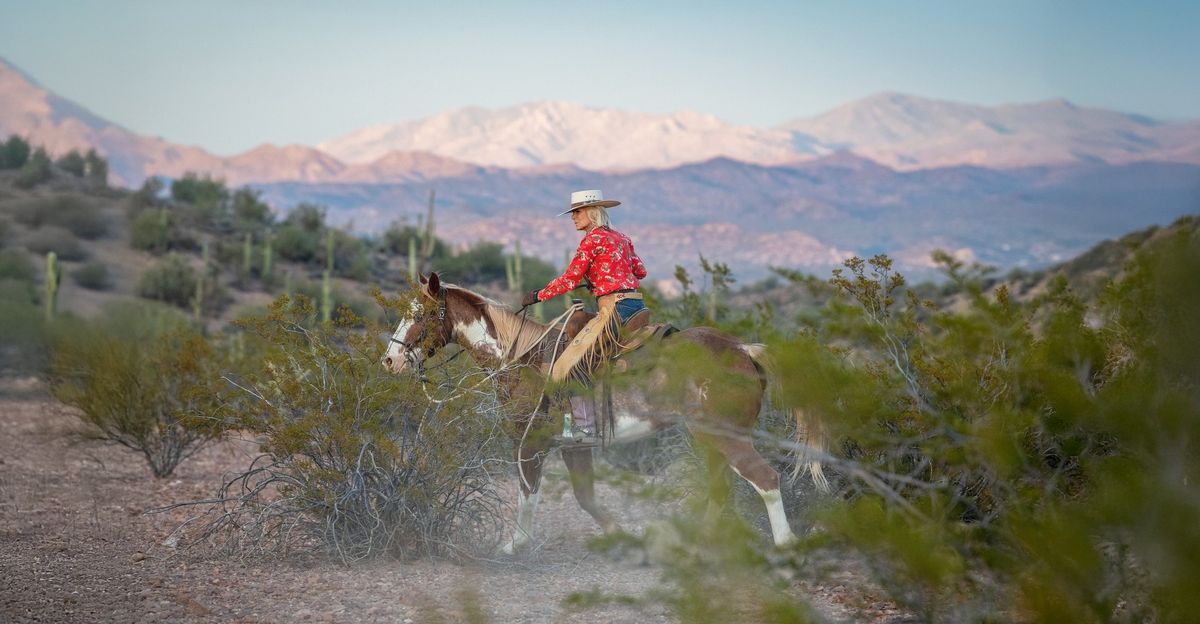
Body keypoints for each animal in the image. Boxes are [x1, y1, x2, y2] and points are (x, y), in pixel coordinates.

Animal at [384, 273, 825, 552]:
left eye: (420, 315)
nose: (390, 360)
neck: (521, 357)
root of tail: (743, 351)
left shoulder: (529, 441)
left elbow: (528, 493)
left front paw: (515, 544)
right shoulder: (574, 445)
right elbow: (585, 497)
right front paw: (623, 537)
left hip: (725, 437)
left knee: (765, 479)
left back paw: (785, 546)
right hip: (712, 439)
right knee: (723, 488)